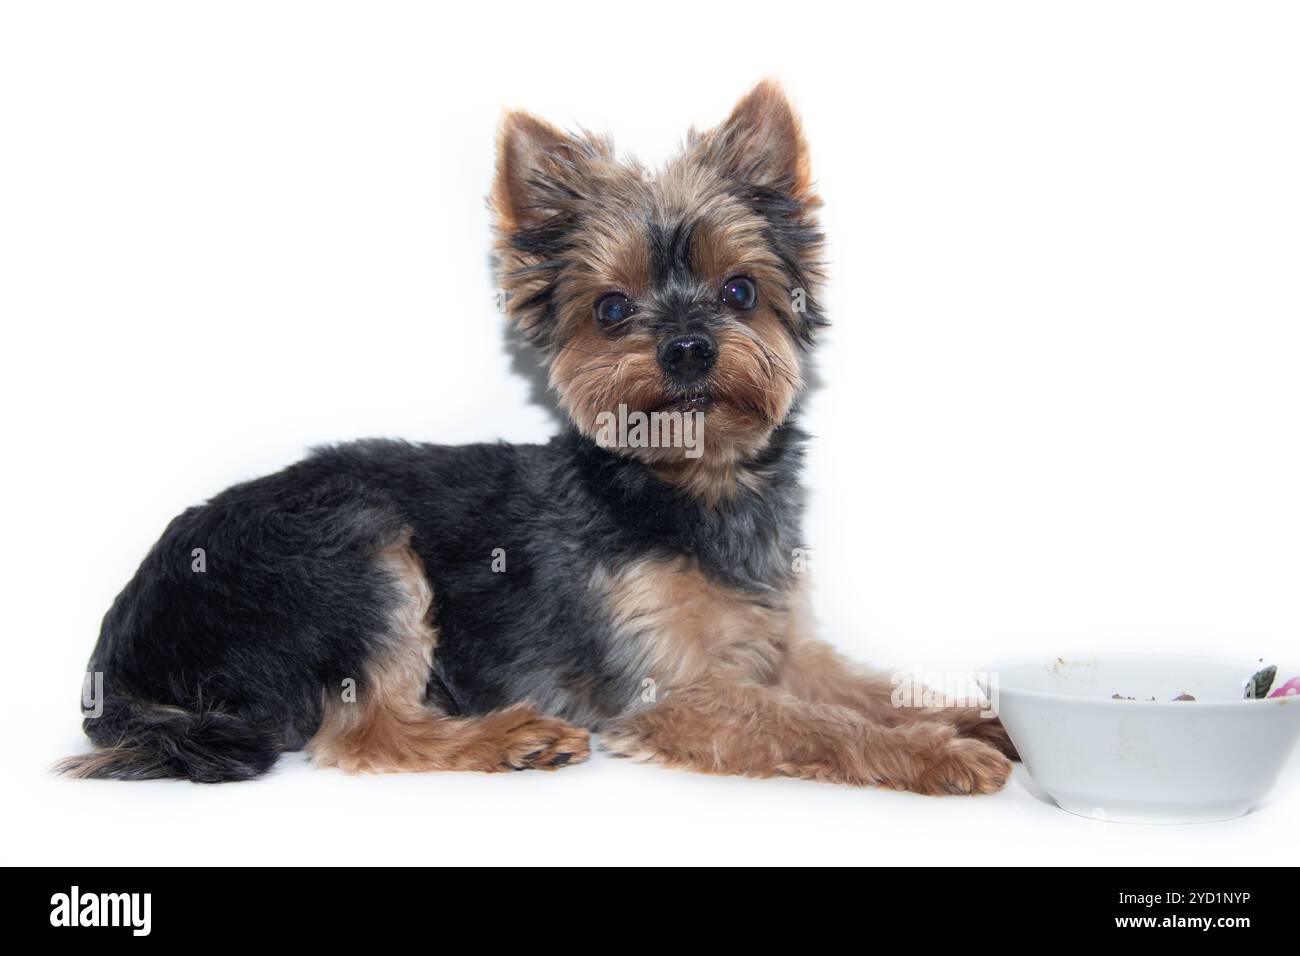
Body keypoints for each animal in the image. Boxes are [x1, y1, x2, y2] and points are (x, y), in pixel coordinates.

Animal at [61, 82, 1013, 790]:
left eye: (739, 291)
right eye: (612, 309)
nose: (687, 346)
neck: (693, 483)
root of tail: (122, 659)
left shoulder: (781, 642)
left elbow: (871, 688)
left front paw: (981, 719)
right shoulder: (677, 690)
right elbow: (813, 724)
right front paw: (939, 755)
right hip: (351, 547)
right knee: (365, 732)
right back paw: (510, 737)